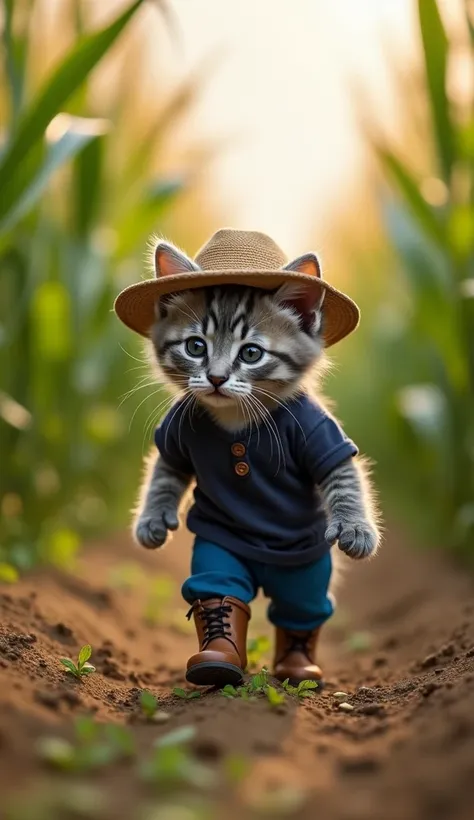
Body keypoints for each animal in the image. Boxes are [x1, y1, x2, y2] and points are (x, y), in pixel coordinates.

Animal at [133, 242, 382, 564]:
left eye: (251, 353)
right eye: (195, 347)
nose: (216, 378)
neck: (235, 414)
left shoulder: (317, 429)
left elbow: (344, 477)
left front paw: (355, 527)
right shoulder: (174, 432)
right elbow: (165, 472)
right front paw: (153, 516)